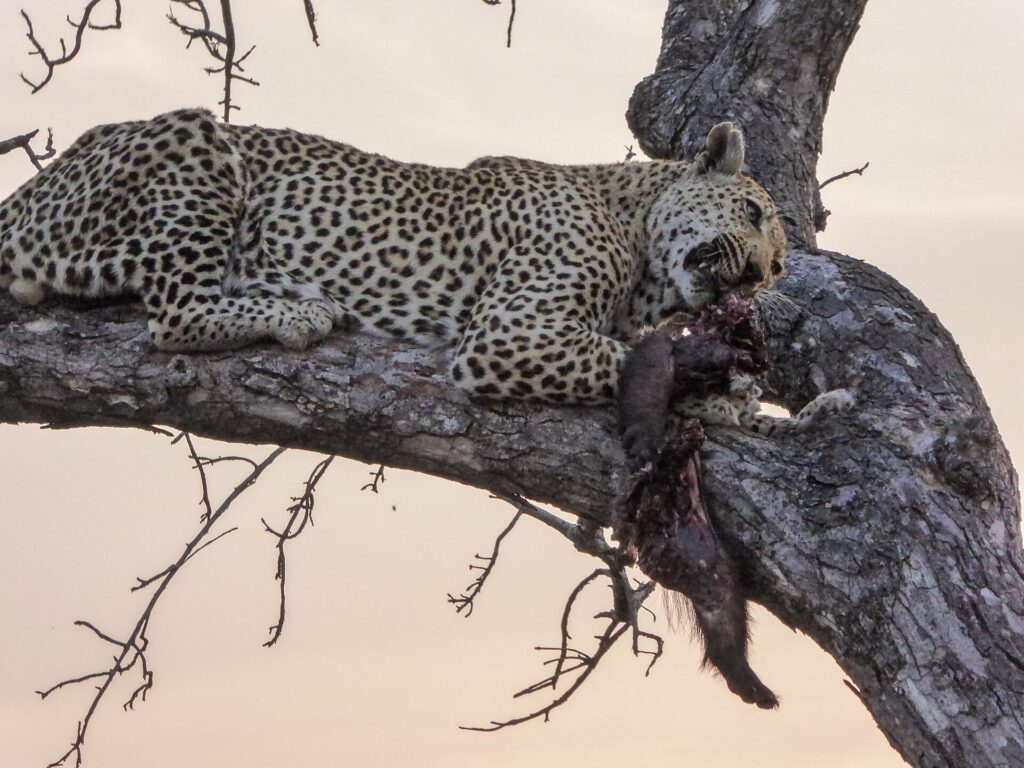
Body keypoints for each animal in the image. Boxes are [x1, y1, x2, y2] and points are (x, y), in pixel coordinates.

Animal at [0, 108, 843, 426]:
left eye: (776, 269)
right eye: (754, 214)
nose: (755, 278)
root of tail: (26, 193)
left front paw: (787, 408)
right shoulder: (506, 335)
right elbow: (634, 358)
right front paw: (725, 384)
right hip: (197, 135)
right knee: (173, 315)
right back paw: (298, 312)